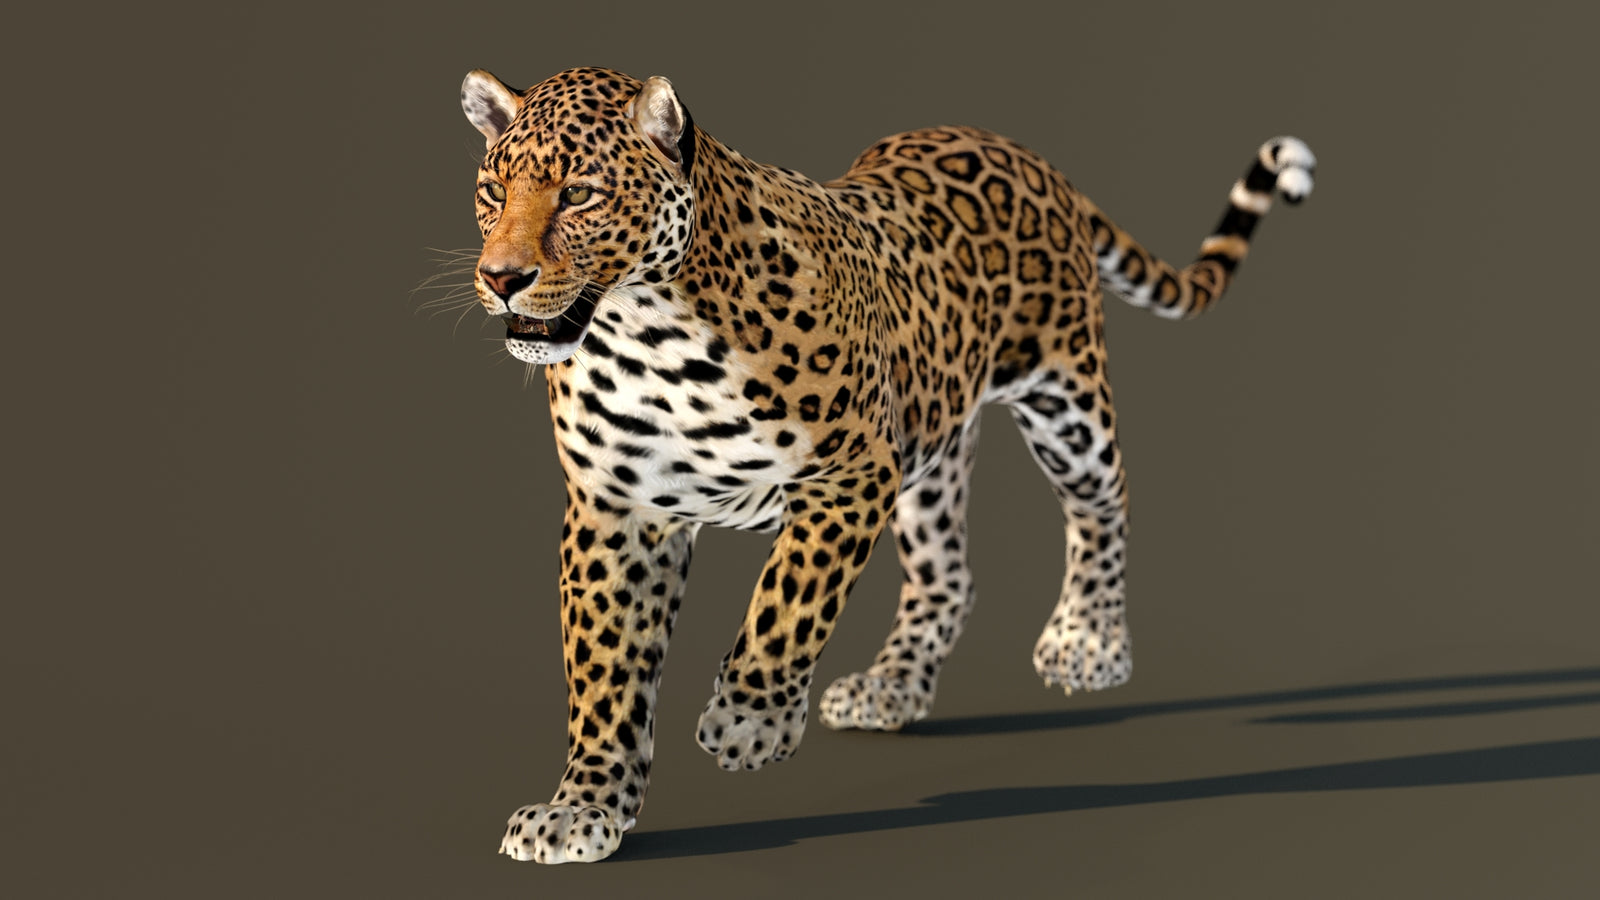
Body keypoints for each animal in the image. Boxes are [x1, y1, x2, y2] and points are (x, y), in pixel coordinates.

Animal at [452, 65, 1314, 864]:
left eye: (580, 194)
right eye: (493, 190)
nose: (502, 278)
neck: (646, 334)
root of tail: (1023, 150)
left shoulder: (849, 473)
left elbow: (788, 599)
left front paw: (750, 721)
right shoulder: (617, 512)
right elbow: (607, 672)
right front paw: (584, 808)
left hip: (1066, 401)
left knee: (1107, 502)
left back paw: (1089, 643)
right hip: (933, 451)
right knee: (950, 576)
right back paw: (892, 685)